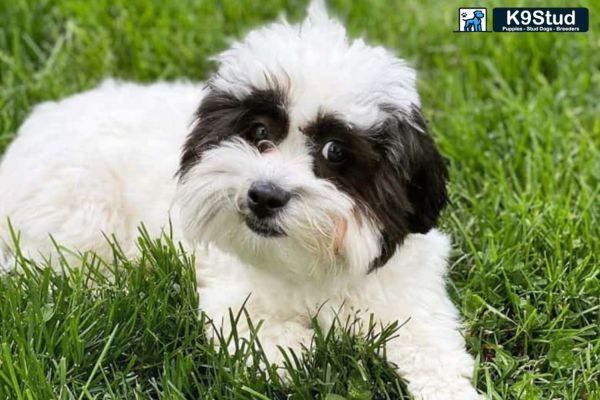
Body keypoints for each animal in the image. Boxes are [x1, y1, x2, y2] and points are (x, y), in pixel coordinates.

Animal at [0, 1, 478, 398]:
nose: (265, 196)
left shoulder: (411, 300)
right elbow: (273, 344)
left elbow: (433, 349)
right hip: (78, 209)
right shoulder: (233, 295)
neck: (310, 265)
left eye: (335, 152)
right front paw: (304, 350)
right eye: (259, 131)